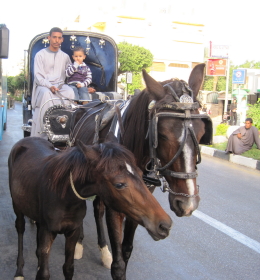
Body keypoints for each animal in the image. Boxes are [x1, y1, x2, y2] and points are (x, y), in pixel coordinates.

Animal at [8, 136, 172, 280]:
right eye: (119, 184)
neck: (64, 196)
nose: (165, 225)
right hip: (17, 207)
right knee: (20, 229)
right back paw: (19, 272)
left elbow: (68, 268)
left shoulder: (72, 232)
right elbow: (44, 274)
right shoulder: (48, 231)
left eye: (140, 173)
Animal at [68, 62, 211, 278]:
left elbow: (126, 250)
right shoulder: (117, 204)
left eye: (202, 133)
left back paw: (103, 249)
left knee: (97, 209)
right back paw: (78, 244)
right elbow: (118, 263)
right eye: (162, 134)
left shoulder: (141, 202)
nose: (187, 203)